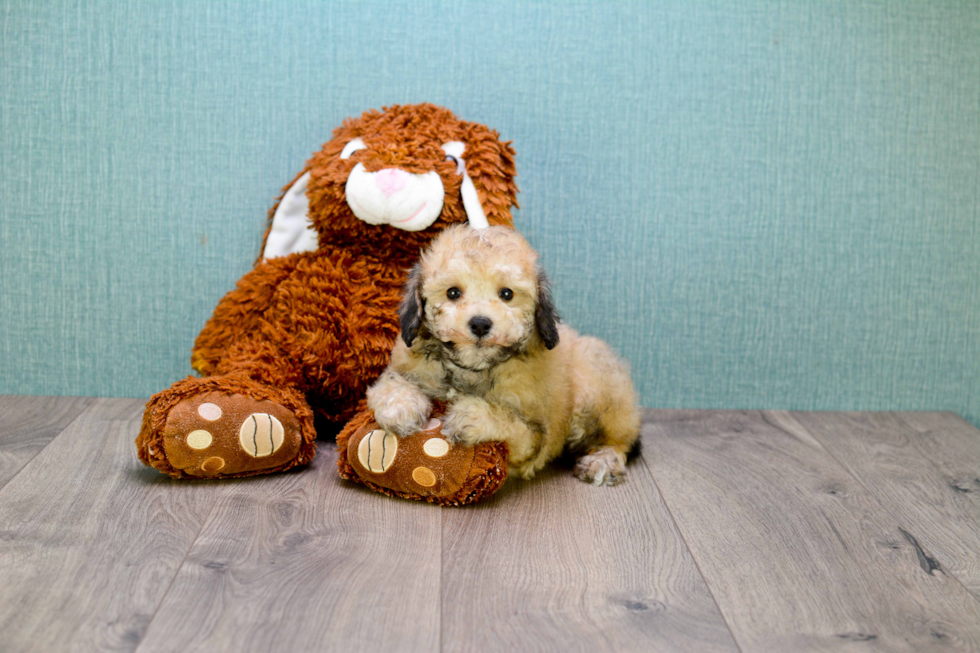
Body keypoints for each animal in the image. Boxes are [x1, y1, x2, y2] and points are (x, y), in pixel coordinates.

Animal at [368, 224, 644, 484]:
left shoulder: (534, 436)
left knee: (619, 440)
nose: (480, 324)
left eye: (507, 294)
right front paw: (401, 407)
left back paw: (602, 460)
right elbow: (391, 381)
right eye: (453, 293)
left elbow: (512, 424)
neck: (473, 368)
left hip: (596, 385)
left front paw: (472, 417)